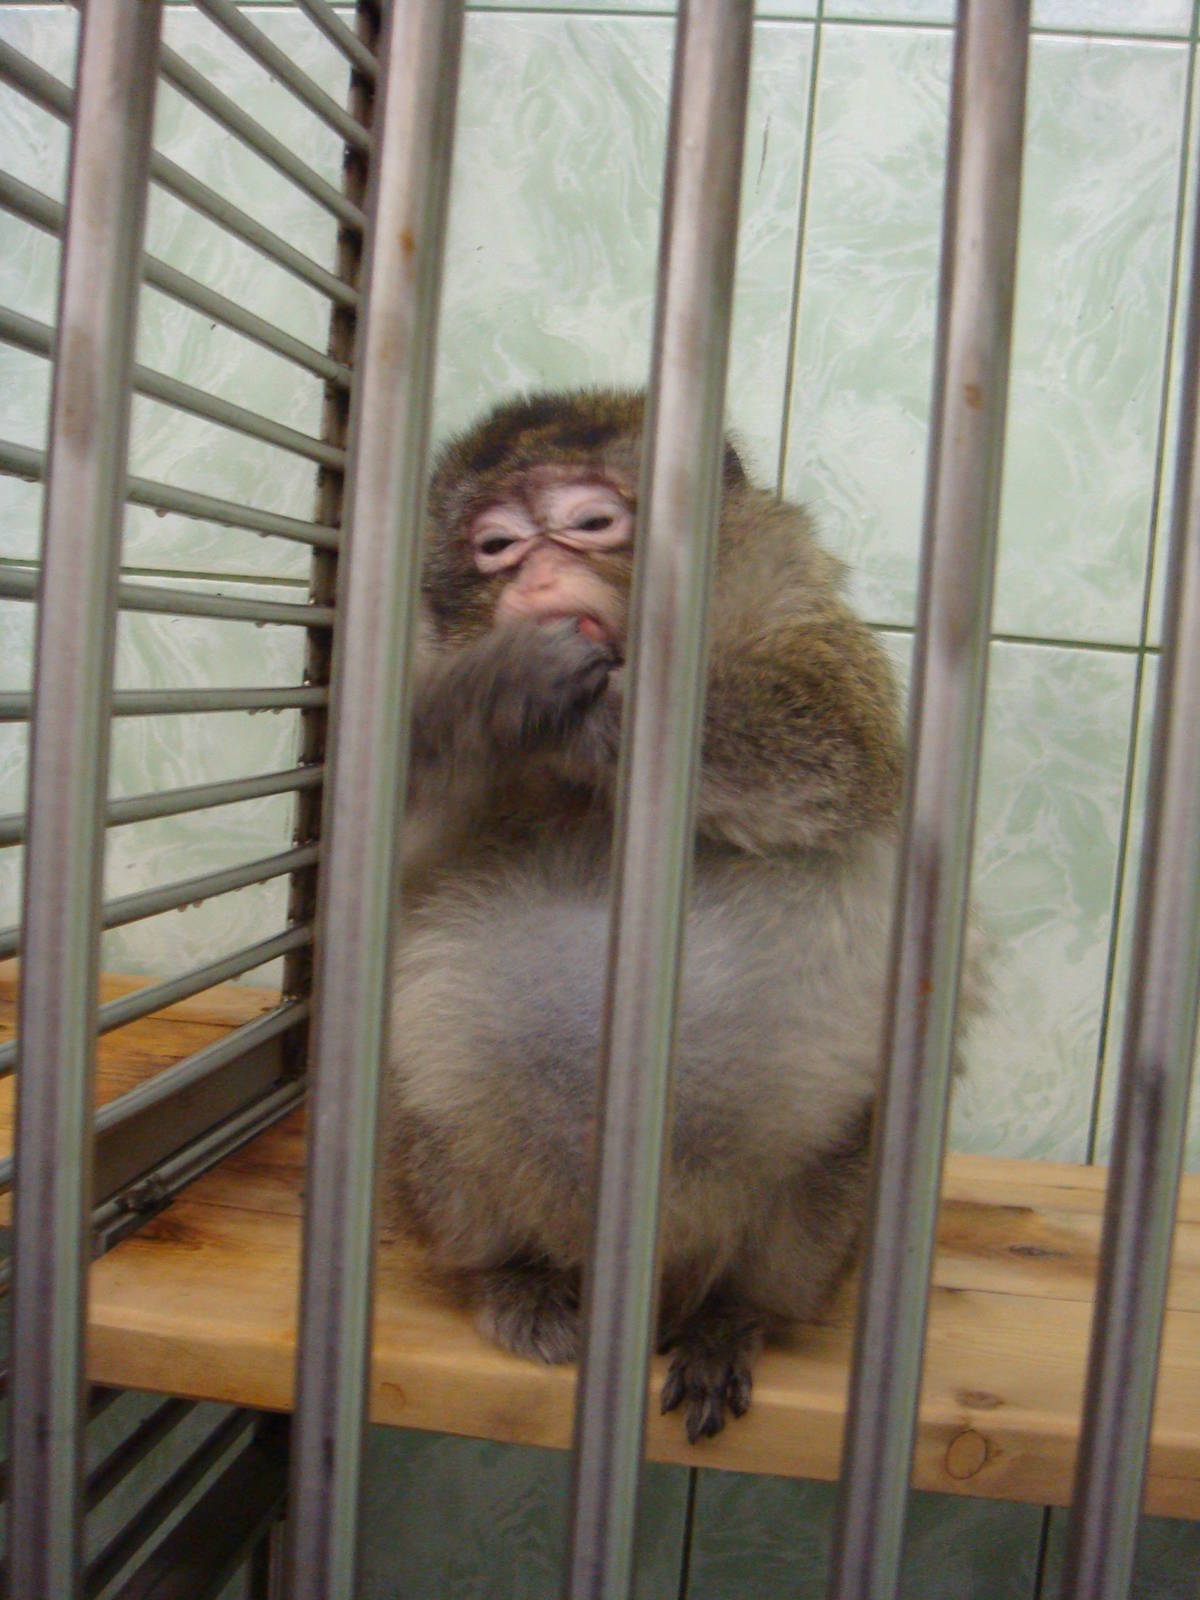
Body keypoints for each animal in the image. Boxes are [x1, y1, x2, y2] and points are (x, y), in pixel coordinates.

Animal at [382, 387, 922, 1444]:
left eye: (592, 521)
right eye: (496, 545)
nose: (540, 572)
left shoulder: (807, 610)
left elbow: (839, 744)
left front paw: (617, 712)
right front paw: (495, 694)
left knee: (845, 1140)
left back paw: (733, 1316)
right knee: (429, 1092)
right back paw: (512, 1277)